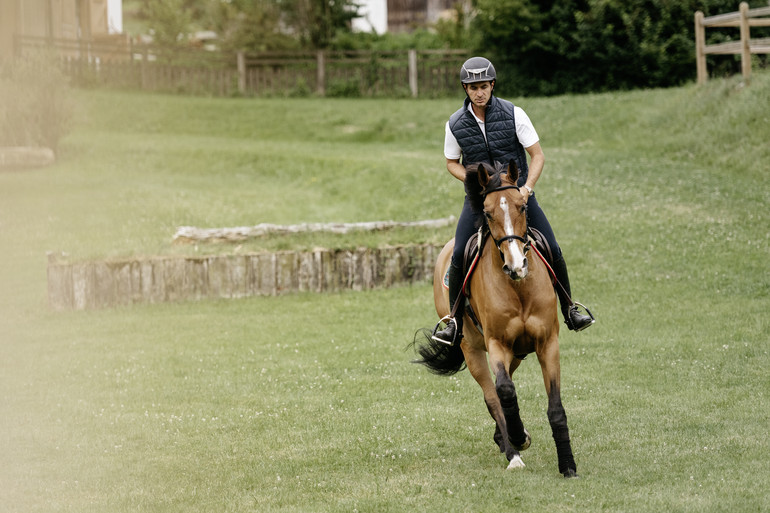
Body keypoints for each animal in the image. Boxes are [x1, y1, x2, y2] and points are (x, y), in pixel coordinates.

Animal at [414, 161, 576, 476]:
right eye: (488, 213)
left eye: (522, 206)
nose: (516, 266)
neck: (518, 287)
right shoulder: (497, 343)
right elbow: (504, 391)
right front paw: (517, 439)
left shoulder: (547, 342)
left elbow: (555, 407)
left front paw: (568, 465)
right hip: (473, 348)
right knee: (493, 396)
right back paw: (512, 449)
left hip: (518, 350)